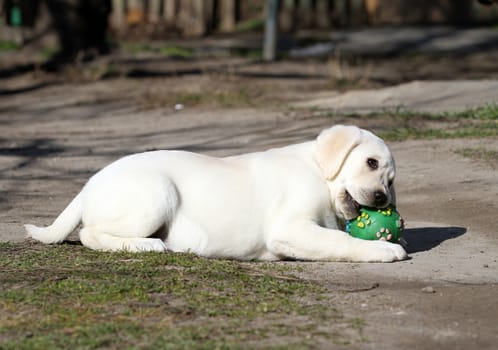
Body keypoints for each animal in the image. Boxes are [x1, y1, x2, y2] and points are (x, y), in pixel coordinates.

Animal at [25, 124, 406, 262]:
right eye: (370, 162)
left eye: (391, 181)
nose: (381, 199)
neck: (318, 172)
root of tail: (88, 185)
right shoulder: (289, 228)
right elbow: (341, 241)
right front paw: (385, 249)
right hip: (157, 193)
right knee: (90, 233)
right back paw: (147, 245)